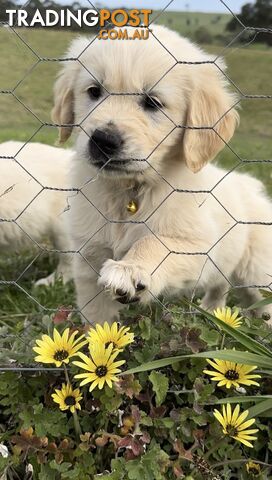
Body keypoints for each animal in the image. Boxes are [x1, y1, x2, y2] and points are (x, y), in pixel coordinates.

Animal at [52, 27, 272, 326]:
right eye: (94, 91)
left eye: (152, 102)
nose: (103, 140)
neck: (130, 191)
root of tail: (249, 186)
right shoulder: (89, 257)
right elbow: (98, 320)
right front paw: (94, 339)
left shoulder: (198, 248)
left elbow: (153, 241)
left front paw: (131, 268)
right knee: (220, 287)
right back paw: (213, 311)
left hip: (257, 273)